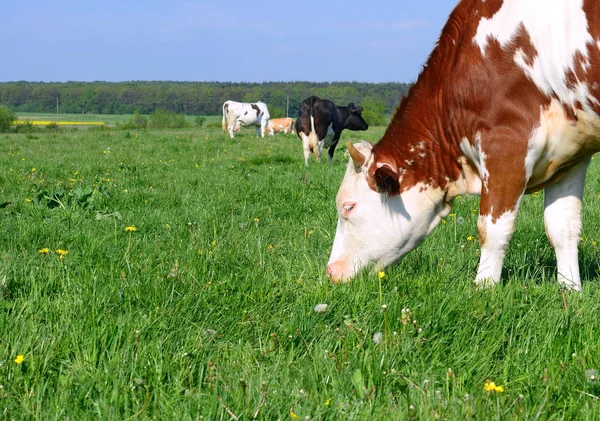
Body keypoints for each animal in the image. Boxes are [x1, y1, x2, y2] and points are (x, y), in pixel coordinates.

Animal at [326, 0, 600, 292]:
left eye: (348, 206)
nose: (331, 271)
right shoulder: (569, 155)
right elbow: (562, 228)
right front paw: (570, 291)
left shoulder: (506, 142)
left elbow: (492, 229)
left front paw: (484, 288)